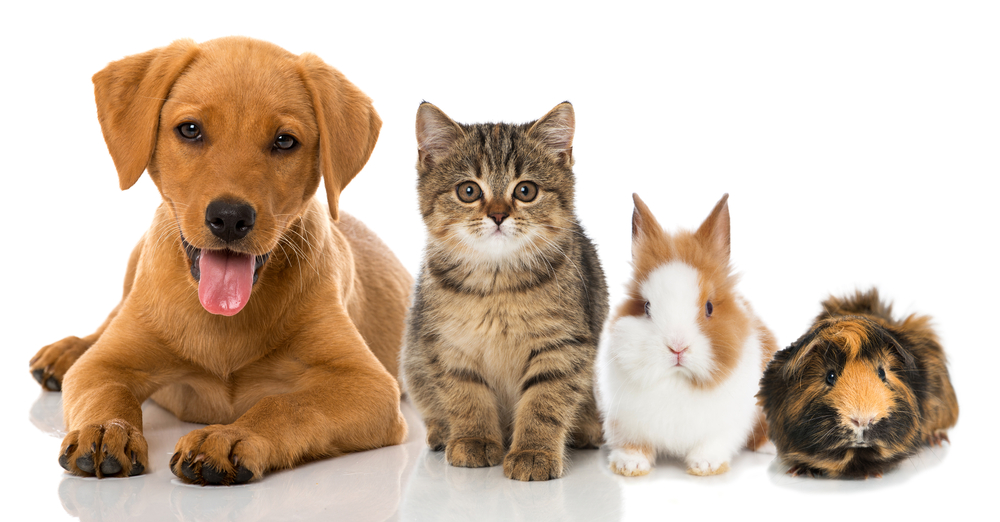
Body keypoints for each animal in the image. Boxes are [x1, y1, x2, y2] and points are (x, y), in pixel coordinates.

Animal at [400, 101, 608, 480]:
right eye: (468, 191)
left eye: (525, 191)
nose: (498, 215)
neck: (498, 284)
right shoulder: (450, 345)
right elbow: (466, 397)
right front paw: (475, 439)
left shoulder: (562, 346)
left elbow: (544, 402)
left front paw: (534, 451)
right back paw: (441, 432)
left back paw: (586, 427)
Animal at [596, 192, 776, 476]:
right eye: (646, 306)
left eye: (709, 307)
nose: (677, 347)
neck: (677, 381)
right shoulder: (622, 419)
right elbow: (631, 444)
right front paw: (630, 465)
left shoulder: (728, 424)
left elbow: (714, 442)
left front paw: (705, 465)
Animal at [756, 286, 960, 478]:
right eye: (830, 376)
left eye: (882, 373)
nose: (863, 420)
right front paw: (800, 470)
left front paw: (872, 474)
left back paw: (937, 439)